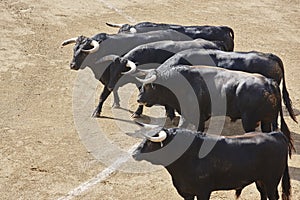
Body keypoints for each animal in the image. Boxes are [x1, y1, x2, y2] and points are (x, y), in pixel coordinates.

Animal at [138, 65, 296, 156]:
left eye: (148, 87)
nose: (139, 99)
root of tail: (269, 82)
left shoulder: (198, 117)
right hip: (266, 120)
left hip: (249, 121)